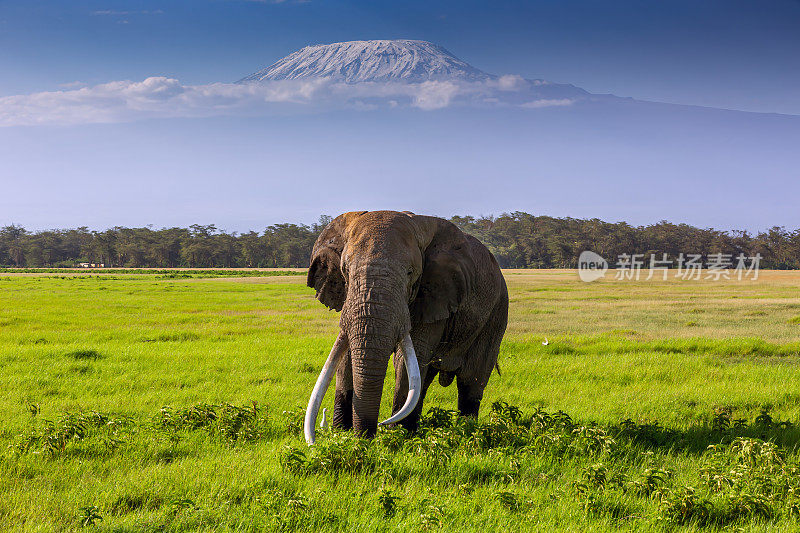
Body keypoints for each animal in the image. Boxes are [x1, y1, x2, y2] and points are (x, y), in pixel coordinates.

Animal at [304, 210, 510, 442]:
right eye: (345, 270)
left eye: (410, 273)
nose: (367, 436)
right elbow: (345, 355)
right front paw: (341, 432)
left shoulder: (435, 294)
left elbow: (409, 357)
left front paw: (398, 436)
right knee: (426, 377)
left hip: (496, 313)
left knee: (471, 380)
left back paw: (467, 430)